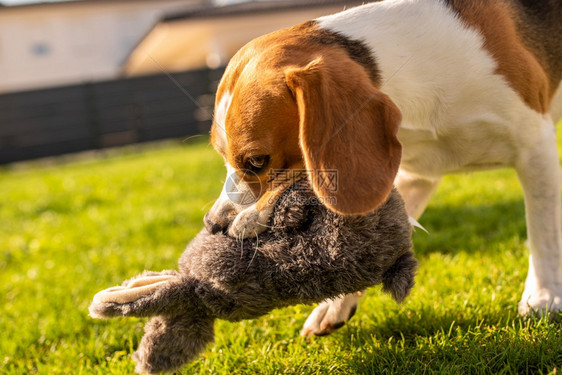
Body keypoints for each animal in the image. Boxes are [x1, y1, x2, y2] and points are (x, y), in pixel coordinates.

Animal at [203, 0, 560, 334]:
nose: (212, 224)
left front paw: (544, 296)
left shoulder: (535, 148)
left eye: (257, 161)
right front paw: (335, 305)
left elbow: (543, 232)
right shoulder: (416, 176)